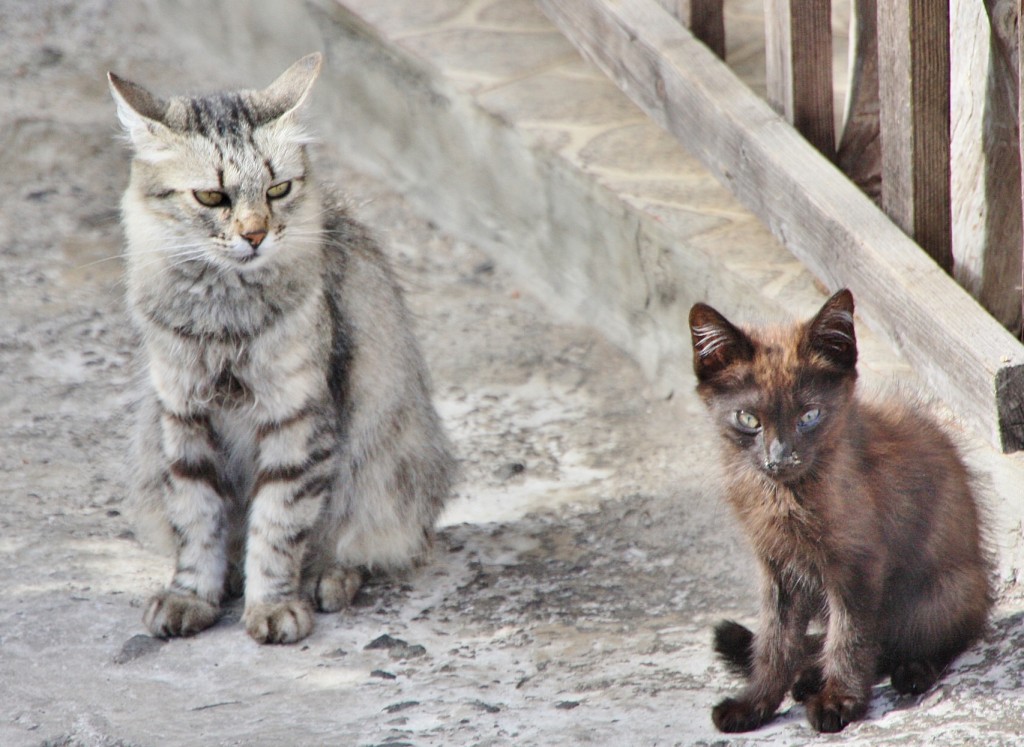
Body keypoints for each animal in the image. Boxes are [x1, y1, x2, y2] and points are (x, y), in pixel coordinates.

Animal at [107, 55, 452, 643]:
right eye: (212, 197)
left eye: (278, 189)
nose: (255, 235)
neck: (223, 315)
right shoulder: (183, 417)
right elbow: (198, 522)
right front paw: (192, 595)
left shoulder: (297, 417)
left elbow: (278, 526)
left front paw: (272, 606)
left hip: (390, 472)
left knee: (363, 544)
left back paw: (325, 580)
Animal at [688, 288, 991, 729]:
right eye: (748, 419)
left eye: (809, 416)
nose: (780, 458)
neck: (787, 494)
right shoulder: (777, 568)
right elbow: (775, 641)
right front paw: (756, 703)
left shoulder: (858, 563)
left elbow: (851, 635)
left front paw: (839, 701)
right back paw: (808, 677)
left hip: (946, 589)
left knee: (937, 636)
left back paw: (912, 669)